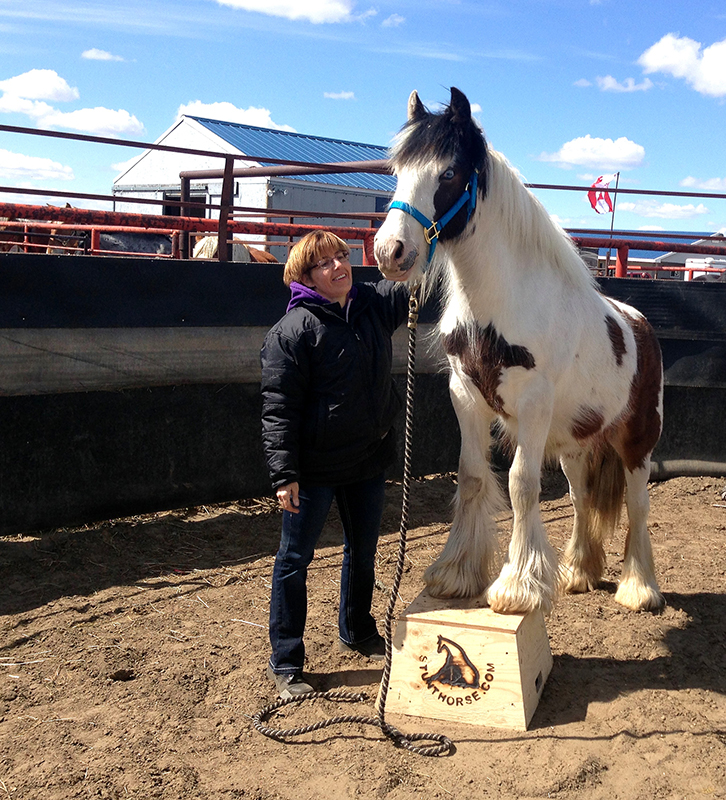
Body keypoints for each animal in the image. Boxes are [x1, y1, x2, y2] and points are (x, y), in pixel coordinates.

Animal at [374, 88, 664, 615]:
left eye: (449, 173)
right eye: (397, 171)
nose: (391, 253)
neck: (500, 305)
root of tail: (640, 325)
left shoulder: (532, 405)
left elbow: (520, 485)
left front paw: (517, 586)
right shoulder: (465, 395)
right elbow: (471, 477)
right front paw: (456, 574)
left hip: (638, 439)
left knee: (637, 503)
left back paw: (639, 588)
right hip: (574, 443)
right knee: (581, 499)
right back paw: (578, 572)